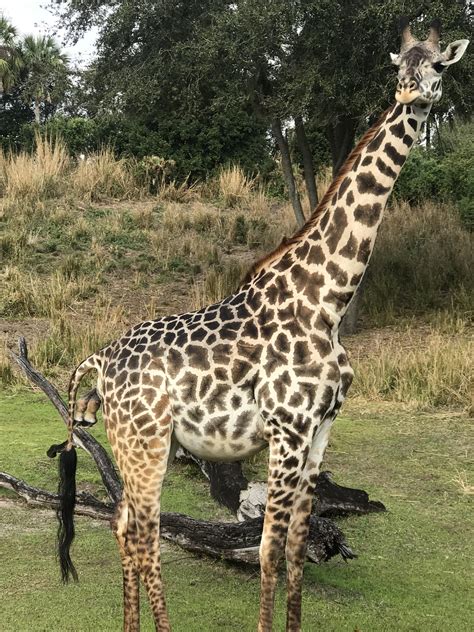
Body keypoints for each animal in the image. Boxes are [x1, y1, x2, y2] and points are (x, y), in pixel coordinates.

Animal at [51, 18, 466, 632]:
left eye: (436, 65)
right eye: (400, 65)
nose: (411, 93)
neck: (328, 299)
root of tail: (98, 360)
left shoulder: (319, 431)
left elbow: (295, 547)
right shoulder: (286, 428)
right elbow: (267, 548)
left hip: (142, 444)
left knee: (126, 527)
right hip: (145, 441)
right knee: (145, 532)